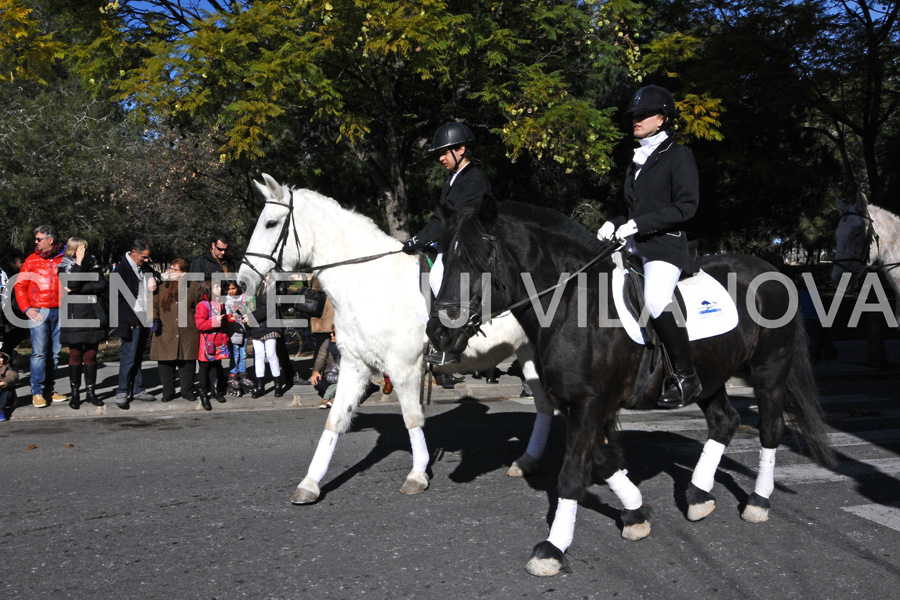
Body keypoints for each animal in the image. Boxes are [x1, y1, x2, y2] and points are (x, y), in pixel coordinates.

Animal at [236, 175, 560, 506]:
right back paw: (527, 461)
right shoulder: (355, 365)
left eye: (271, 223)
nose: (242, 280)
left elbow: (412, 419)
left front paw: (417, 474)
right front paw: (310, 483)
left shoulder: (404, 367)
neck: (367, 279)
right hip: (527, 353)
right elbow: (335, 420)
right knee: (545, 406)